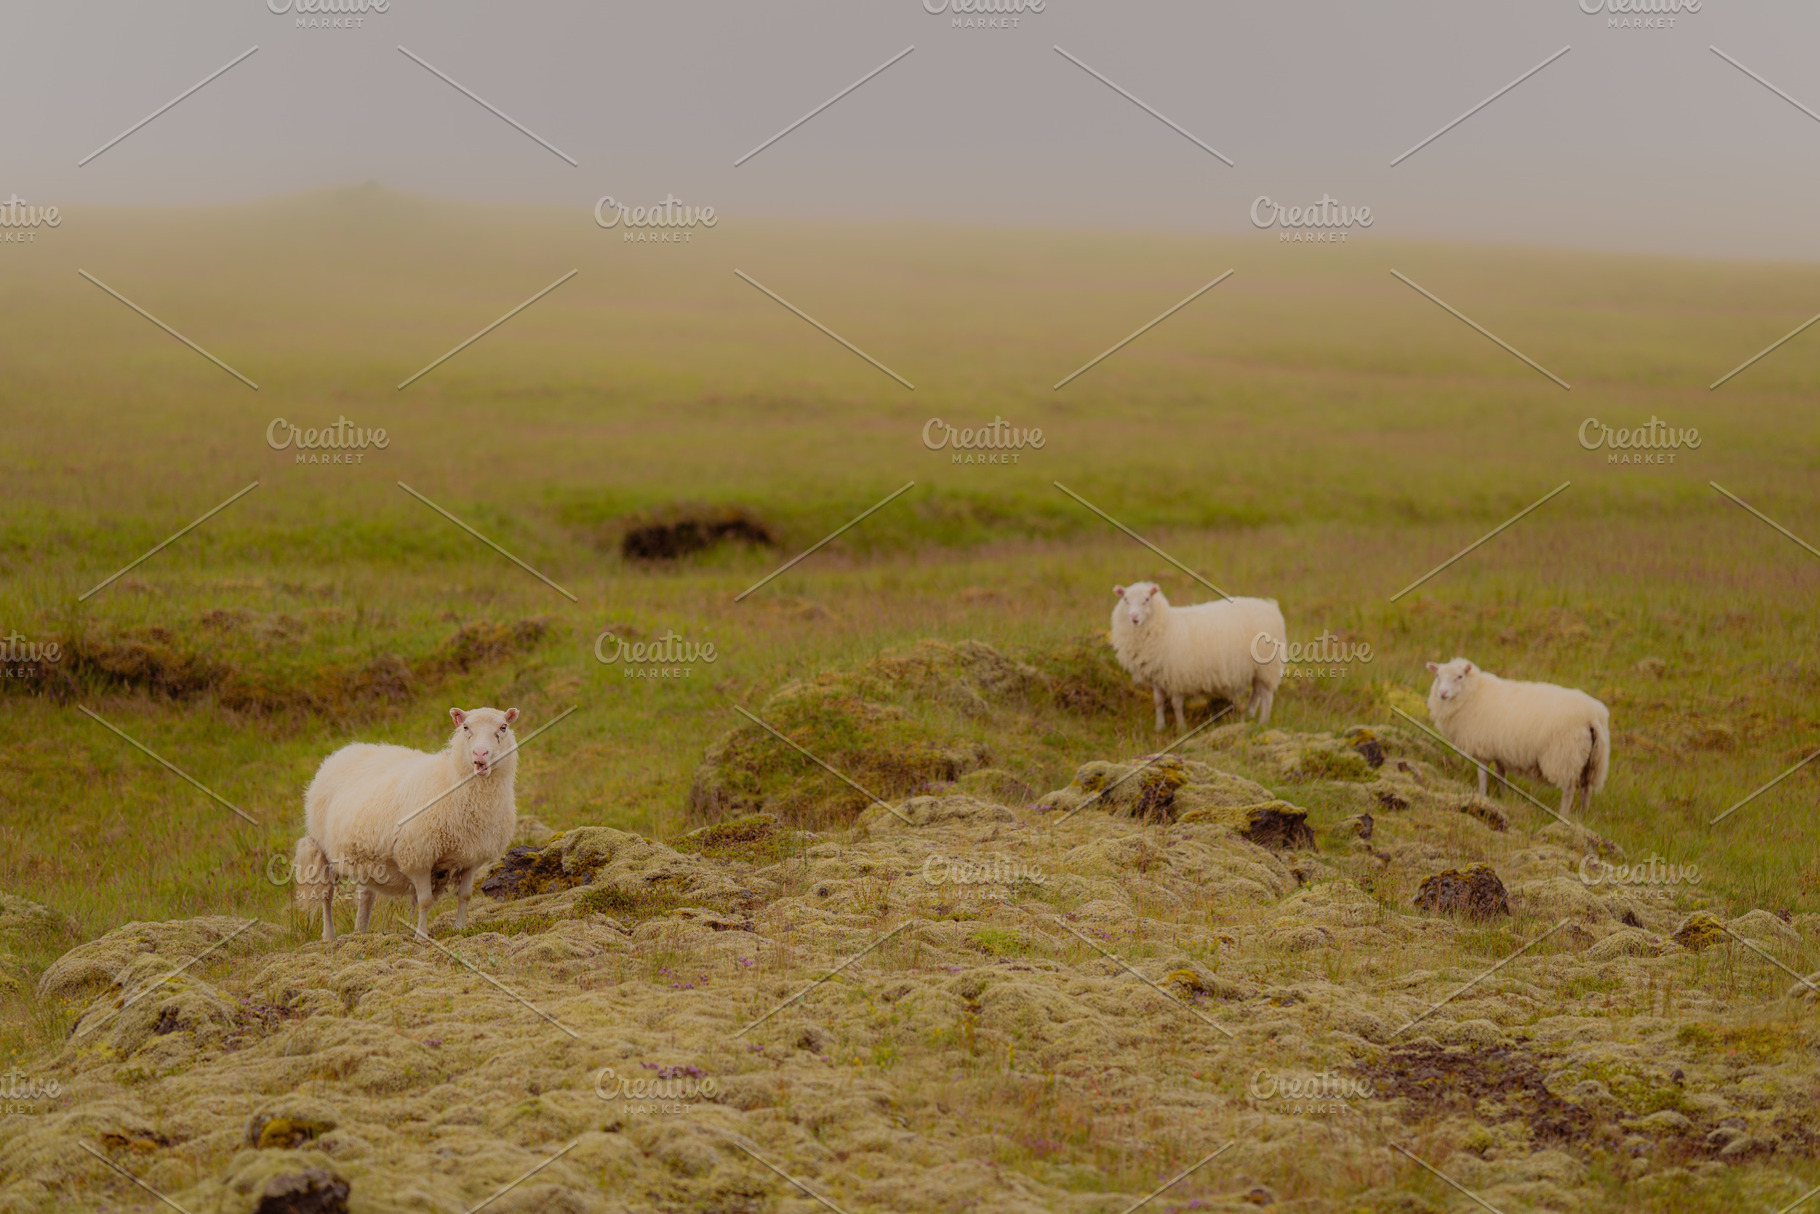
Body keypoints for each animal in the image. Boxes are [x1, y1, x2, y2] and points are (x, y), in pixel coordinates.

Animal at [294, 706, 520, 941]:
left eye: (503, 727)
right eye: (466, 728)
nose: (480, 755)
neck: (450, 780)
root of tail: (343, 751)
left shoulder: (471, 857)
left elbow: (465, 895)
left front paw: (460, 929)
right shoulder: (418, 856)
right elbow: (425, 901)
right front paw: (421, 936)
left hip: (365, 855)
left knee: (366, 894)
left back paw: (361, 931)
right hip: (323, 848)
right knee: (326, 894)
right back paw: (329, 935)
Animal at [1110, 582, 1286, 732]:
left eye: (1146, 600)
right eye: (1125, 600)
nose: (1134, 617)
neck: (1164, 625)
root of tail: (1271, 608)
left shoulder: (1177, 675)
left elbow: (1176, 704)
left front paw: (1181, 728)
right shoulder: (1157, 675)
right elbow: (1158, 702)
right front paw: (1159, 727)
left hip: (1267, 666)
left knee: (1266, 695)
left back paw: (1263, 722)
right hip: (1257, 669)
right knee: (1256, 692)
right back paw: (1248, 715)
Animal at [1424, 658, 1610, 818]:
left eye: (1459, 677)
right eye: (1438, 675)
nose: (1442, 692)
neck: (1473, 693)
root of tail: (1592, 715)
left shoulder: (1482, 748)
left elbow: (1482, 774)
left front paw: (1482, 796)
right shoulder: (1499, 750)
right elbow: (1500, 774)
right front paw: (1504, 796)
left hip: (1565, 756)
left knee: (1570, 789)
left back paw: (1562, 815)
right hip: (1592, 760)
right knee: (1586, 788)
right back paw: (1582, 816)